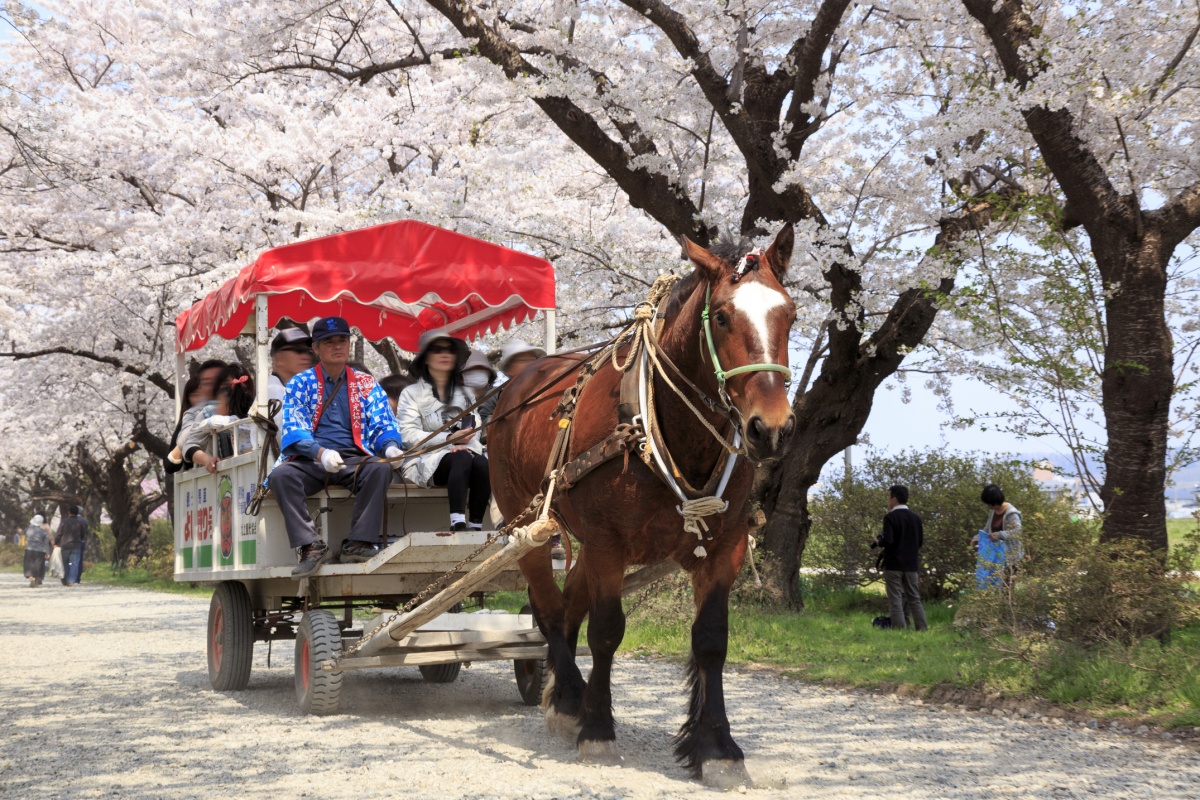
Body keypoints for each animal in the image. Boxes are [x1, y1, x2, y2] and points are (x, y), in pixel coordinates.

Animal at [487, 221, 796, 786]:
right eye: (723, 316)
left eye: (790, 314)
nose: (771, 429)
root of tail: (519, 382)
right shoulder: (609, 542)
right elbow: (608, 632)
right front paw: (598, 729)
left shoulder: (726, 544)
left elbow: (711, 640)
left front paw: (716, 747)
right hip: (530, 524)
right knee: (548, 607)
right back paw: (570, 698)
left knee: (567, 605)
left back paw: (566, 693)